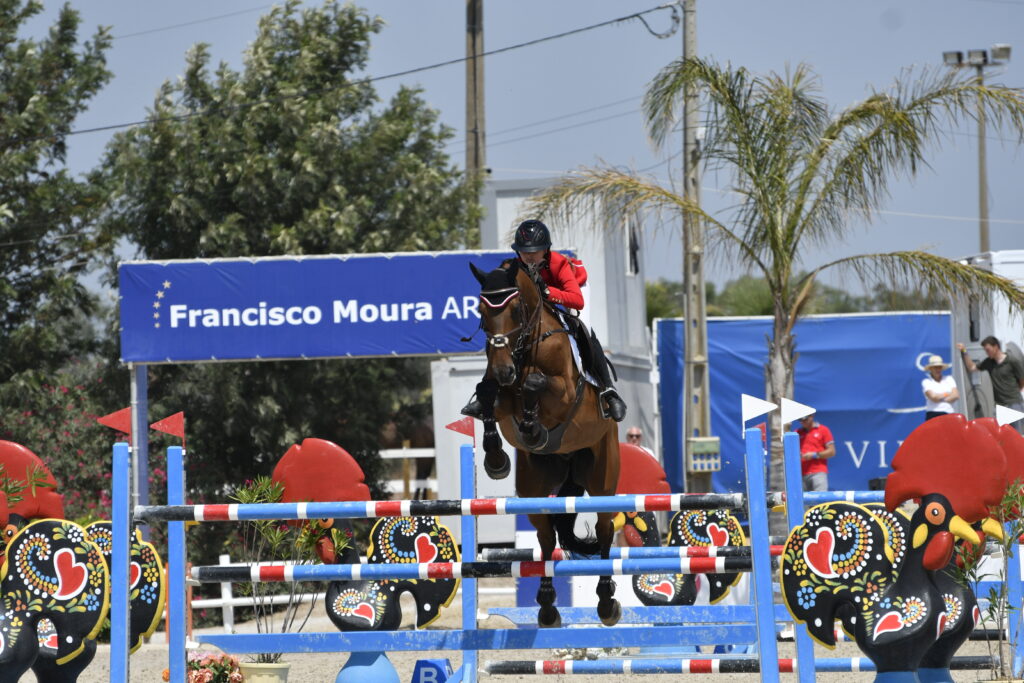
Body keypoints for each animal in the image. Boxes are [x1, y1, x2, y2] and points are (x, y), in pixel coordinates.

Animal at [469, 258, 622, 628]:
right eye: (481, 310)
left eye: (515, 310)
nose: (505, 369)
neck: (524, 350)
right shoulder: (500, 392)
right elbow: (486, 393)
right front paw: (496, 459)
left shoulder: (564, 393)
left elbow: (535, 384)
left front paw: (533, 426)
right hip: (535, 489)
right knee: (546, 536)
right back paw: (548, 607)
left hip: (602, 478)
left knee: (604, 529)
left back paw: (606, 603)